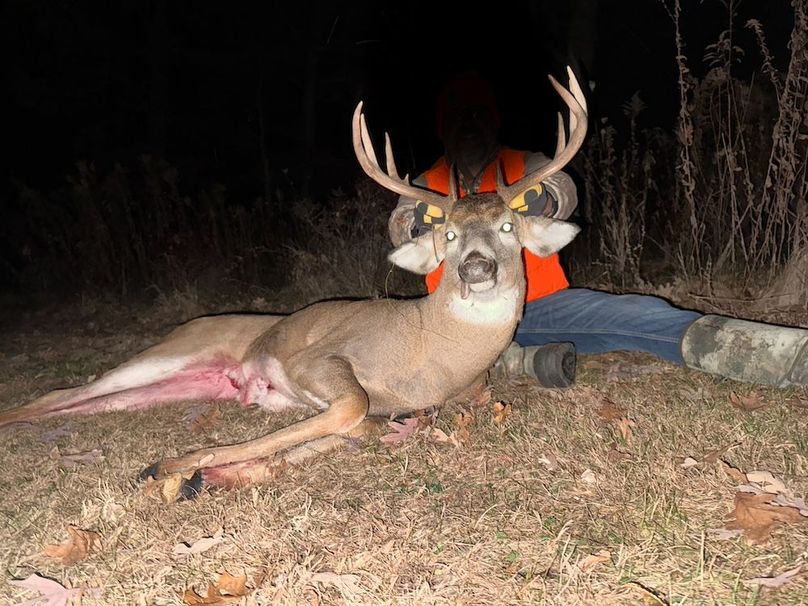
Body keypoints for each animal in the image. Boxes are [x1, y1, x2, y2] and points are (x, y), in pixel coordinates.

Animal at [0, 67, 587, 498]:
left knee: (82, 401)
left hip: (179, 383)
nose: (476, 268)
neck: (431, 356)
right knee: (60, 390)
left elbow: (357, 430)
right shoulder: (321, 360)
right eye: (448, 235)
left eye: (508, 227)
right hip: (171, 349)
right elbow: (349, 410)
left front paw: (209, 475)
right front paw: (172, 465)